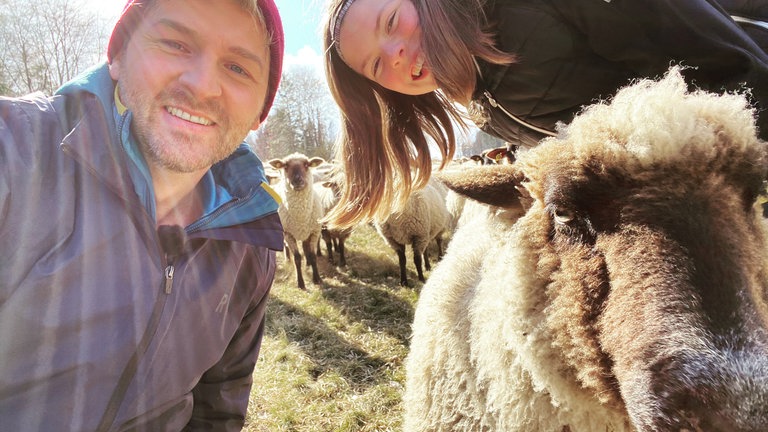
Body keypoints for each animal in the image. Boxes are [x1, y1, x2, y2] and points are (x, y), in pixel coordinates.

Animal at [268, 152, 326, 290]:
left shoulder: (314, 232)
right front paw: (300, 283)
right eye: (285, 166)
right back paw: (288, 259)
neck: (301, 217)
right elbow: (298, 258)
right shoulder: (288, 234)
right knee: (287, 248)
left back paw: (308, 264)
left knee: (306, 248)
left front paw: (317, 279)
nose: (297, 180)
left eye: (306, 164)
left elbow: (313, 255)